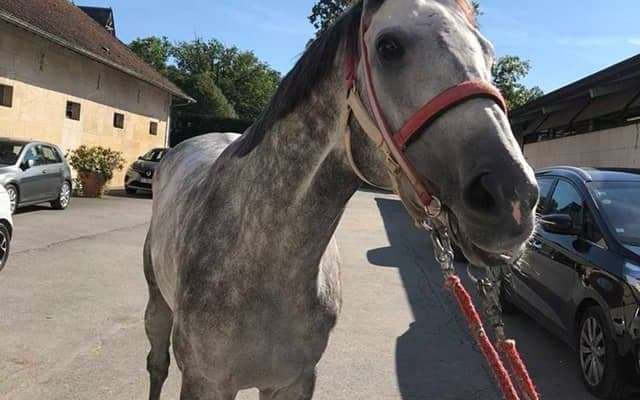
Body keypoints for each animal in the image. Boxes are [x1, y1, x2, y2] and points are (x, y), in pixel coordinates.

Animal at [144, 0, 540, 398]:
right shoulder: (204, 382)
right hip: (158, 305)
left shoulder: (294, 381)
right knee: (157, 366)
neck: (260, 261)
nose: (513, 197)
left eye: (488, 54)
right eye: (388, 47)